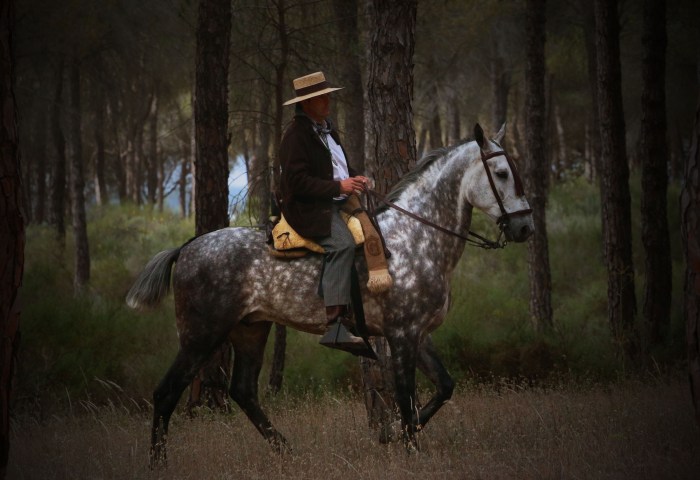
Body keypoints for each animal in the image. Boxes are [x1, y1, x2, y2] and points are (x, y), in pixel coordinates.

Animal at [126, 123, 534, 465]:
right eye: (501, 173)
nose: (525, 227)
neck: (415, 239)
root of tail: (187, 248)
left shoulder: (419, 335)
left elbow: (444, 387)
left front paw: (390, 436)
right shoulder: (402, 335)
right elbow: (405, 395)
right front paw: (410, 449)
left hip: (251, 330)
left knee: (243, 391)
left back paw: (287, 452)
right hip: (201, 336)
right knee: (166, 393)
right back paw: (159, 463)